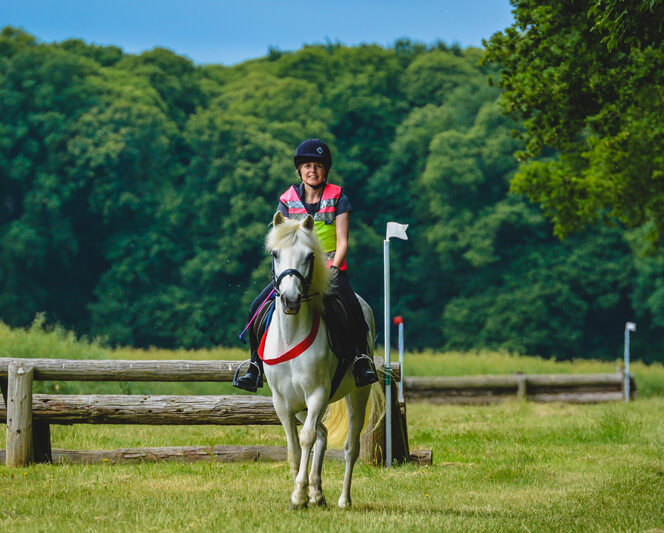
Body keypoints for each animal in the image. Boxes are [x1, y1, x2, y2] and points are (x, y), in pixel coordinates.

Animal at [260, 210, 384, 510]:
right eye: (275, 254)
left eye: (309, 256)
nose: (291, 300)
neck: (291, 335)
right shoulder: (282, 402)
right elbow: (294, 447)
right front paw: (303, 493)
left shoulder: (317, 394)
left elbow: (306, 439)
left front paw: (298, 494)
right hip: (301, 405)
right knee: (323, 434)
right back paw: (317, 492)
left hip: (357, 395)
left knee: (350, 447)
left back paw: (343, 499)